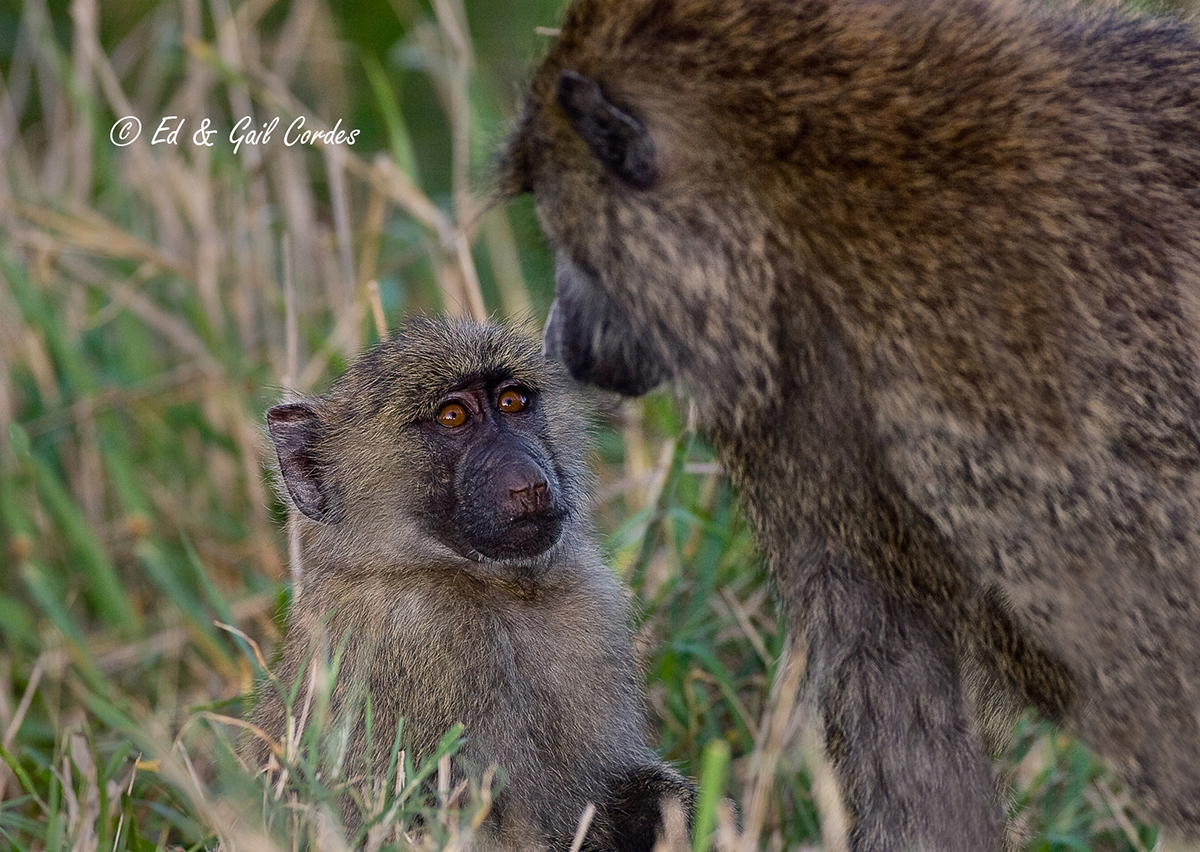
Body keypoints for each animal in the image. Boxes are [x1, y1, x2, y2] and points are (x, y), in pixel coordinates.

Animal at [244, 316, 693, 851]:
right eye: (453, 416)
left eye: (512, 402)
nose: (529, 483)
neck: (486, 585)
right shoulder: (422, 640)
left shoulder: (591, 606)